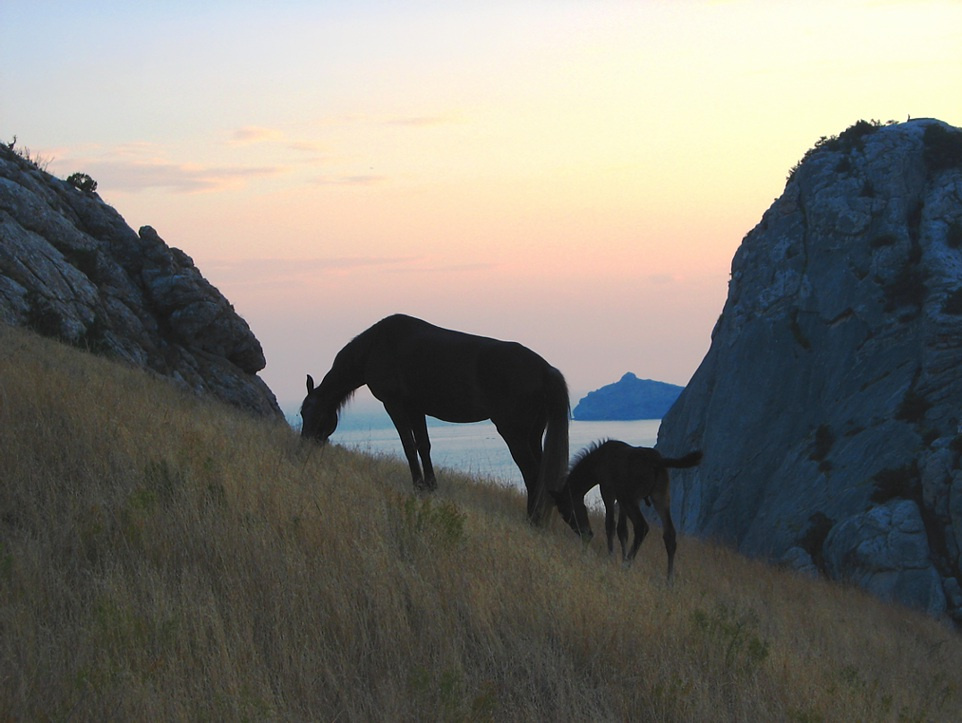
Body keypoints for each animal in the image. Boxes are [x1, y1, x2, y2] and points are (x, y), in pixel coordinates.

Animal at [300, 314, 570, 524]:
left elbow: (408, 446)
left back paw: (533, 520)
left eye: (306, 412)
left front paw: (418, 485)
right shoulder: (415, 408)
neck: (375, 346)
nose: (304, 444)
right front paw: (430, 486)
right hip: (533, 434)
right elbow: (423, 445)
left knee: (532, 473)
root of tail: (545, 369)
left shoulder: (394, 404)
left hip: (514, 433)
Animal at [551, 440, 702, 580]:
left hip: (631, 498)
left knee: (642, 527)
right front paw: (622, 557)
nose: (587, 534)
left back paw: (627, 564)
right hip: (661, 495)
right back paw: (669, 579)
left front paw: (611, 557)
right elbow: (623, 530)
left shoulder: (608, 490)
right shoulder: (621, 500)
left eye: (565, 512)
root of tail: (657, 462)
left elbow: (610, 525)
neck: (596, 464)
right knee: (669, 533)